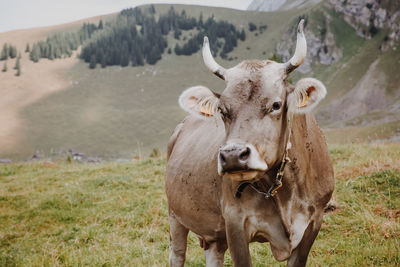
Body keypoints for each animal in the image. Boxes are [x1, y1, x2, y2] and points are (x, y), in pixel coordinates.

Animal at [165, 21, 334, 267]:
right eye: (222, 109)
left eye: (276, 105)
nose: (233, 155)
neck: (284, 190)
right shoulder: (235, 222)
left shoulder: (314, 221)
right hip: (175, 214)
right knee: (177, 253)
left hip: (214, 235)